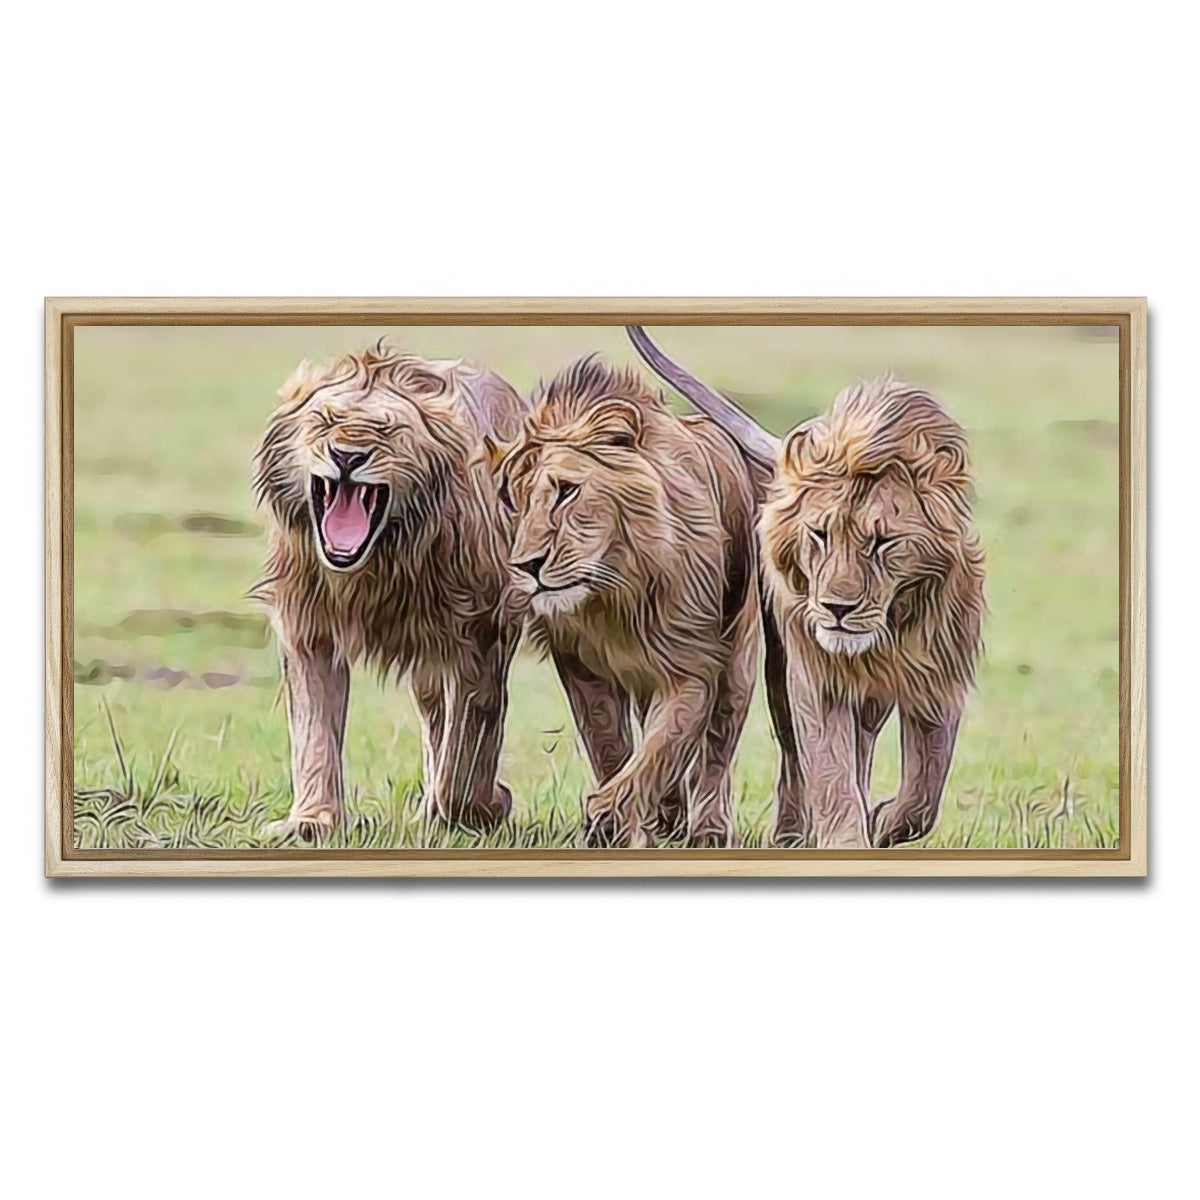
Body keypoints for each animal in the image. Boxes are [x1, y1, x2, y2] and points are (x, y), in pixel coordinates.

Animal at [251, 340, 529, 838]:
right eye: (325, 420)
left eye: (387, 429)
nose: (346, 456)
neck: (377, 564)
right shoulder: (308, 628)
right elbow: (313, 731)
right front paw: (312, 820)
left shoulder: (482, 633)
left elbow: (470, 747)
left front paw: (486, 805)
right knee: (434, 716)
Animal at [489, 355, 760, 848]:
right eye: (512, 501)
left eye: (566, 490)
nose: (527, 565)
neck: (614, 593)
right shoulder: (580, 667)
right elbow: (612, 747)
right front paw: (621, 823)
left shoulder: (693, 665)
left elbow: (660, 749)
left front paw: (610, 816)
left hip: (738, 662)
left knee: (717, 747)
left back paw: (708, 830)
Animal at [627, 326, 985, 849]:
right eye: (819, 534)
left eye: (882, 541)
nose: (837, 608)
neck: (892, 626)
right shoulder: (815, 677)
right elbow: (829, 768)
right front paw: (848, 839)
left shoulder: (939, 678)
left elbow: (925, 791)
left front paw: (883, 821)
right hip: (778, 668)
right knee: (798, 755)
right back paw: (792, 834)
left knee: (864, 745)